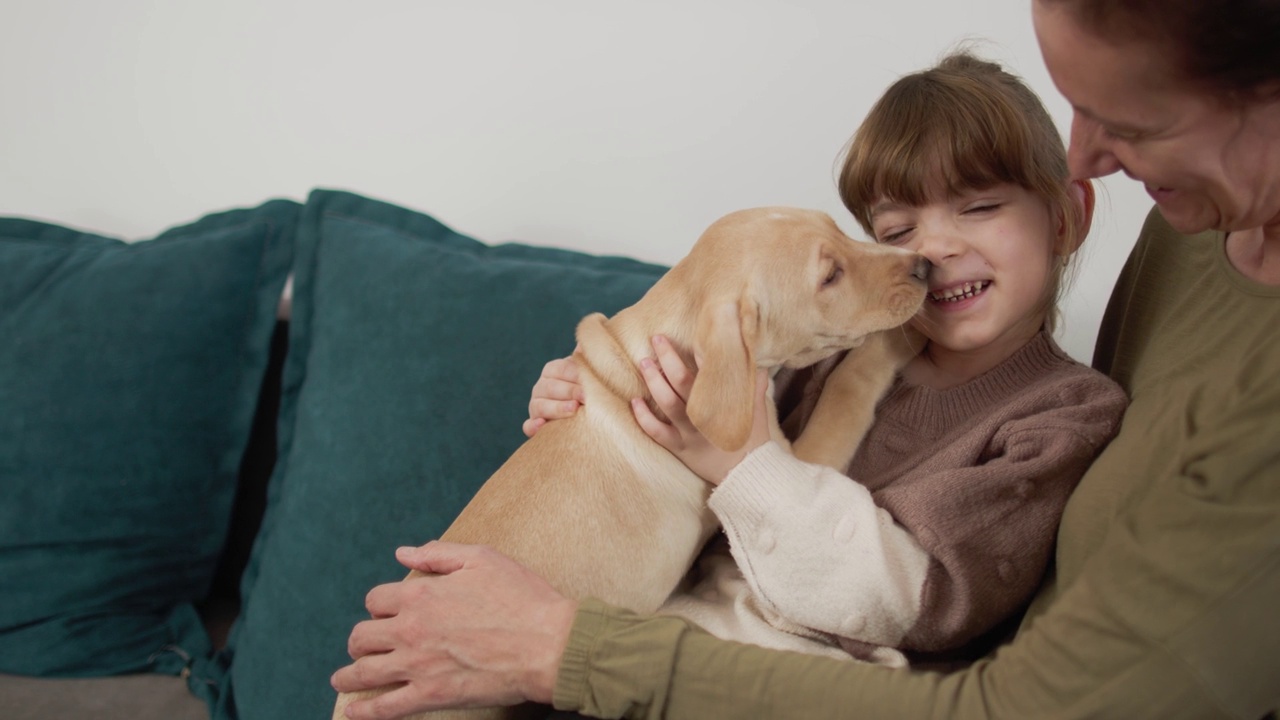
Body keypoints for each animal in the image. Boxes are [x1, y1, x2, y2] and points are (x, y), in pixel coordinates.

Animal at [335, 207, 926, 717]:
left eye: (842, 230)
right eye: (830, 276)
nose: (923, 267)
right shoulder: (785, 452)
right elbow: (848, 387)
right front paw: (898, 341)